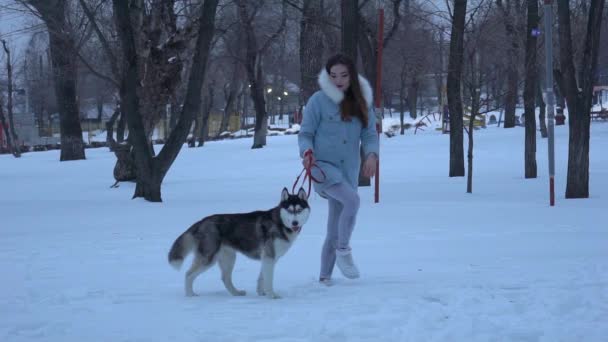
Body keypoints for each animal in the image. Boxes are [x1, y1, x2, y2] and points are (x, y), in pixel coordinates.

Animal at [169, 188, 312, 298]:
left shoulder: (268, 258)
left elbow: (262, 278)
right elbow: (268, 279)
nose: (295, 223)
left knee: (225, 278)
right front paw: (272, 295)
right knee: (188, 274)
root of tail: (201, 222)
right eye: (289, 210)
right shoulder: (269, 257)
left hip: (229, 258)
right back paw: (190, 295)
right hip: (209, 258)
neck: (280, 223)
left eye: (299, 210)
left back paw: (236, 293)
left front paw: (261, 292)